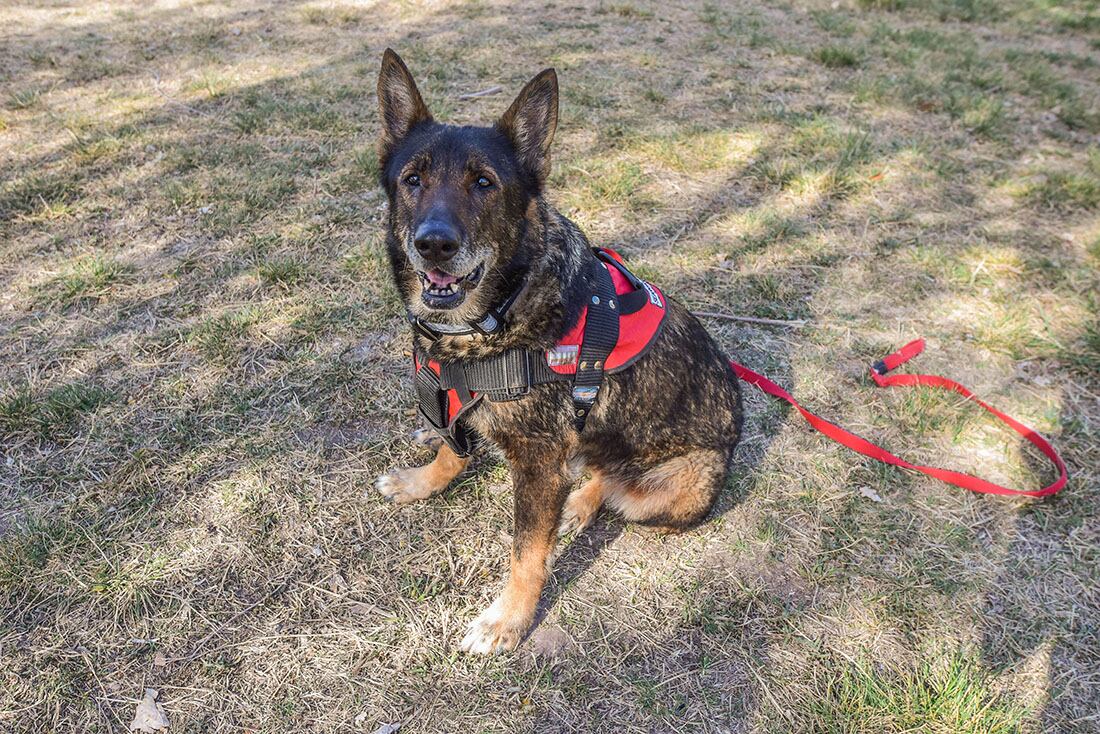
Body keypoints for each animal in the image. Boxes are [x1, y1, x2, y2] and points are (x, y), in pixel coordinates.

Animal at [374, 50, 743, 655]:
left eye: (484, 182)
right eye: (413, 179)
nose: (434, 244)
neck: (501, 308)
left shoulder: (540, 461)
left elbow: (527, 554)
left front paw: (508, 620)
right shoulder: (454, 398)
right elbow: (453, 449)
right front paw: (423, 479)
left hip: (676, 484)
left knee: (613, 482)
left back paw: (578, 502)